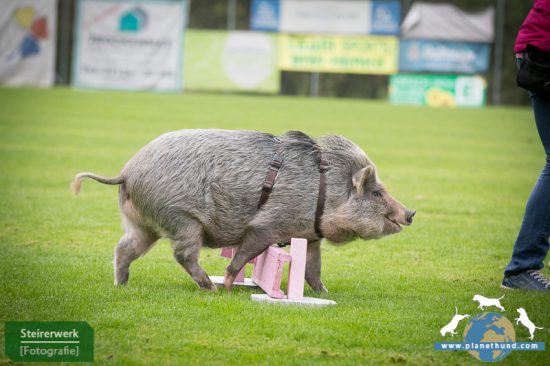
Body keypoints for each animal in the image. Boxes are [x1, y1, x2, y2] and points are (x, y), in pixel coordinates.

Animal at [71, 129, 416, 292]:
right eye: (377, 192)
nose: (410, 213)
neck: (322, 191)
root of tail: (126, 171)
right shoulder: (268, 224)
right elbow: (246, 251)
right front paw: (228, 283)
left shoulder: (310, 236)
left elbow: (313, 269)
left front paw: (324, 292)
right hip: (182, 219)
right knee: (183, 254)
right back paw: (211, 289)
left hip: (143, 224)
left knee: (124, 248)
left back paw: (122, 284)